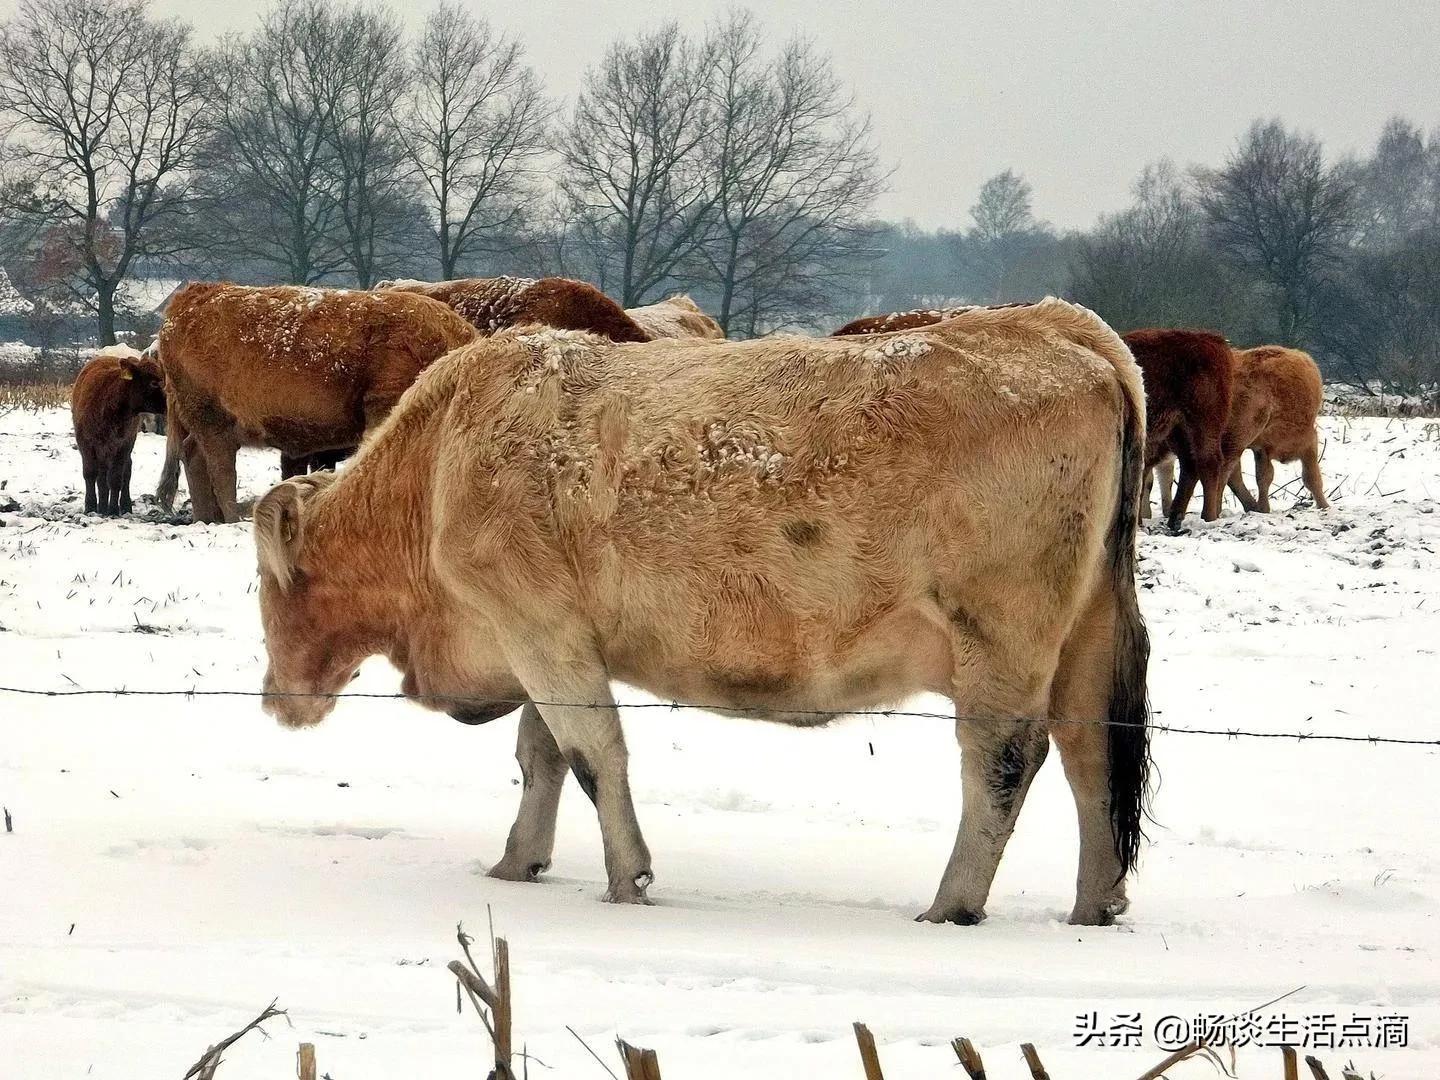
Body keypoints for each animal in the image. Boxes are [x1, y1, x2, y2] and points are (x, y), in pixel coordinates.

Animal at [70, 347, 167, 515]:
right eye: (154, 382)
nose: (171, 401)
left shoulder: (124, 444)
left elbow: (116, 478)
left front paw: (114, 509)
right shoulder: (85, 442)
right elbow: (90, 473)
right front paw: (90, 506)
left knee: (125, 472)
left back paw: (124, 505)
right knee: (101, 477)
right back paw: (101, 506)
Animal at [155, 285, 475, 527]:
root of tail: (194, 294)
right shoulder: (384, 407)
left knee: (193, 455)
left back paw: (207, 519)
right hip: (212, 420)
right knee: (221, 469)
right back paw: (232, 519)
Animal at [253, 298, 1152, 933]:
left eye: (264, 586)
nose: (272, 699)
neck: (439, 459)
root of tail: (1054, 324)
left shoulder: (540, 628)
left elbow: (593, 757)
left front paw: (627, 881)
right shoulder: (545, 635)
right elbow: (542, 757)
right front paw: (517, 864)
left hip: (999, 637)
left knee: (1003, 762)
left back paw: (950, 907)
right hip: (1086, 635)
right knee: (1091, 756)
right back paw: (1095, 907)